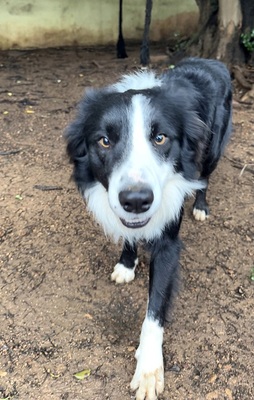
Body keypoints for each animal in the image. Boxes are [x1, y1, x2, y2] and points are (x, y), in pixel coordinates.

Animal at [65, 57, 232, 400]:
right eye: (105, 140)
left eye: (160, 138)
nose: (137, 200)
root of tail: (212, 60)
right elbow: (130, 235)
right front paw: (127, 264)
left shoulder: (169, 242)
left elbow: (155, 309)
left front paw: (149, 368)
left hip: (212, 149)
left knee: (204, 177)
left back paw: (201, 206)